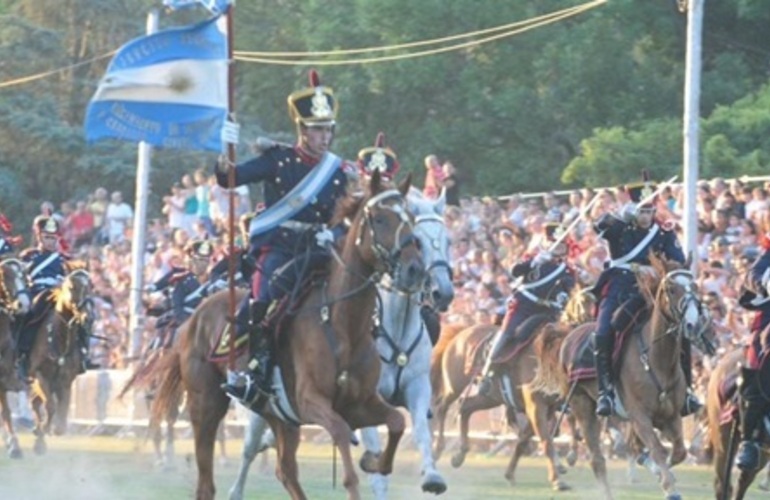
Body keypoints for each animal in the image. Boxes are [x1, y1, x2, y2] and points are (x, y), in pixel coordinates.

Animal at [26, 268, 92, 456]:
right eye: (72, 287)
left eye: (90, 287)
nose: (88, 317)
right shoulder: (40, 376)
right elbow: (50, 406)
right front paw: (45, 430)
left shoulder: (65, 381)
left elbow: (62, 414)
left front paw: (47, 431)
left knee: (35, 404)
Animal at [150, 172, 426, 500]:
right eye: (381, 219)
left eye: (411, 218)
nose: (414, 270)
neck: (343, 325)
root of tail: (194, 319)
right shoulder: (313, 403)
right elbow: (343, 443)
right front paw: (361, 468)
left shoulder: (359, 404)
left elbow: (396, 421)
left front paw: (373, 461)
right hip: (206, 405)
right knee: (206, 482)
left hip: (279, 416)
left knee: (286, 471)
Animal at [356, 188, 452, 500]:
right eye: (417, 242)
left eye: (448, 241)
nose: (444, 292)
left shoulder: (418, 388)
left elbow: (421, 431)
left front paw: (432, 476)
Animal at [532, 258, 712, 500]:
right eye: (671, 289)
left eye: (695, 288)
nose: (694, 324)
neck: (656, 360)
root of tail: (568, 336)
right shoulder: (640, 417)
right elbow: (657, 449)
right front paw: (669, 487)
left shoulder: (670, 417)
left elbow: (678, 452)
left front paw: (661, 472)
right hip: (582, 405)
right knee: (596, 458)